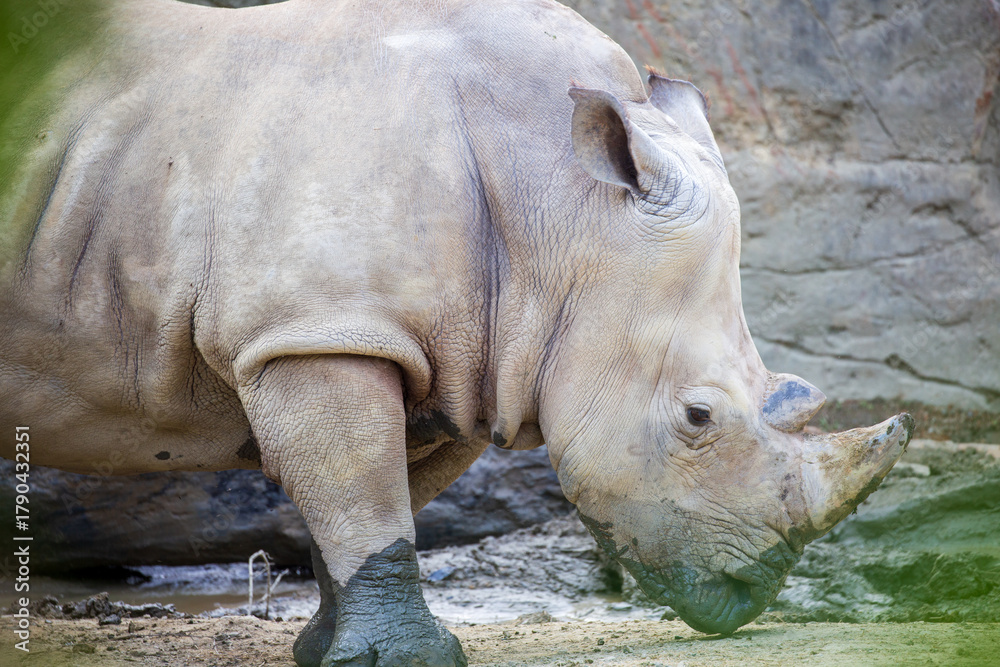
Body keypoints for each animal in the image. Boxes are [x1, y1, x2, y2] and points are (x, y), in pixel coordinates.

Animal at [0, 0, 913, 664]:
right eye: (697, 417)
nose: (755, 590)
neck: (562, 204)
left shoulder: (463, 354)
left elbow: (372, 496)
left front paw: (334, 650)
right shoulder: (316, 330)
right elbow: (363, 493)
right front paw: (406, 660)